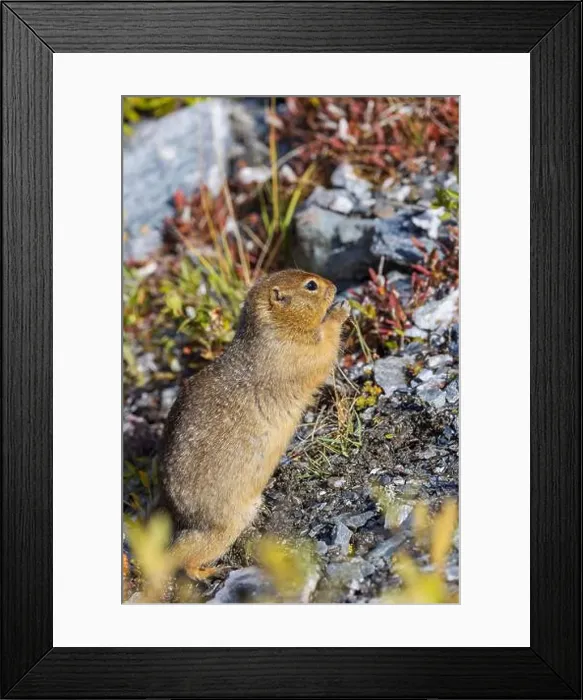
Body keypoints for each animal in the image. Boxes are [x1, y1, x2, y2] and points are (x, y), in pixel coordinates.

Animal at [158, 269, 350, 575]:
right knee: (187, 558)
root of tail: (186, 523)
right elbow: (325, 347)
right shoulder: (301, 352)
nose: (333, 285)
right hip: (224, 526)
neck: (273, 329)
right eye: (311, 285)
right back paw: (210, 572)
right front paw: (340, 310)